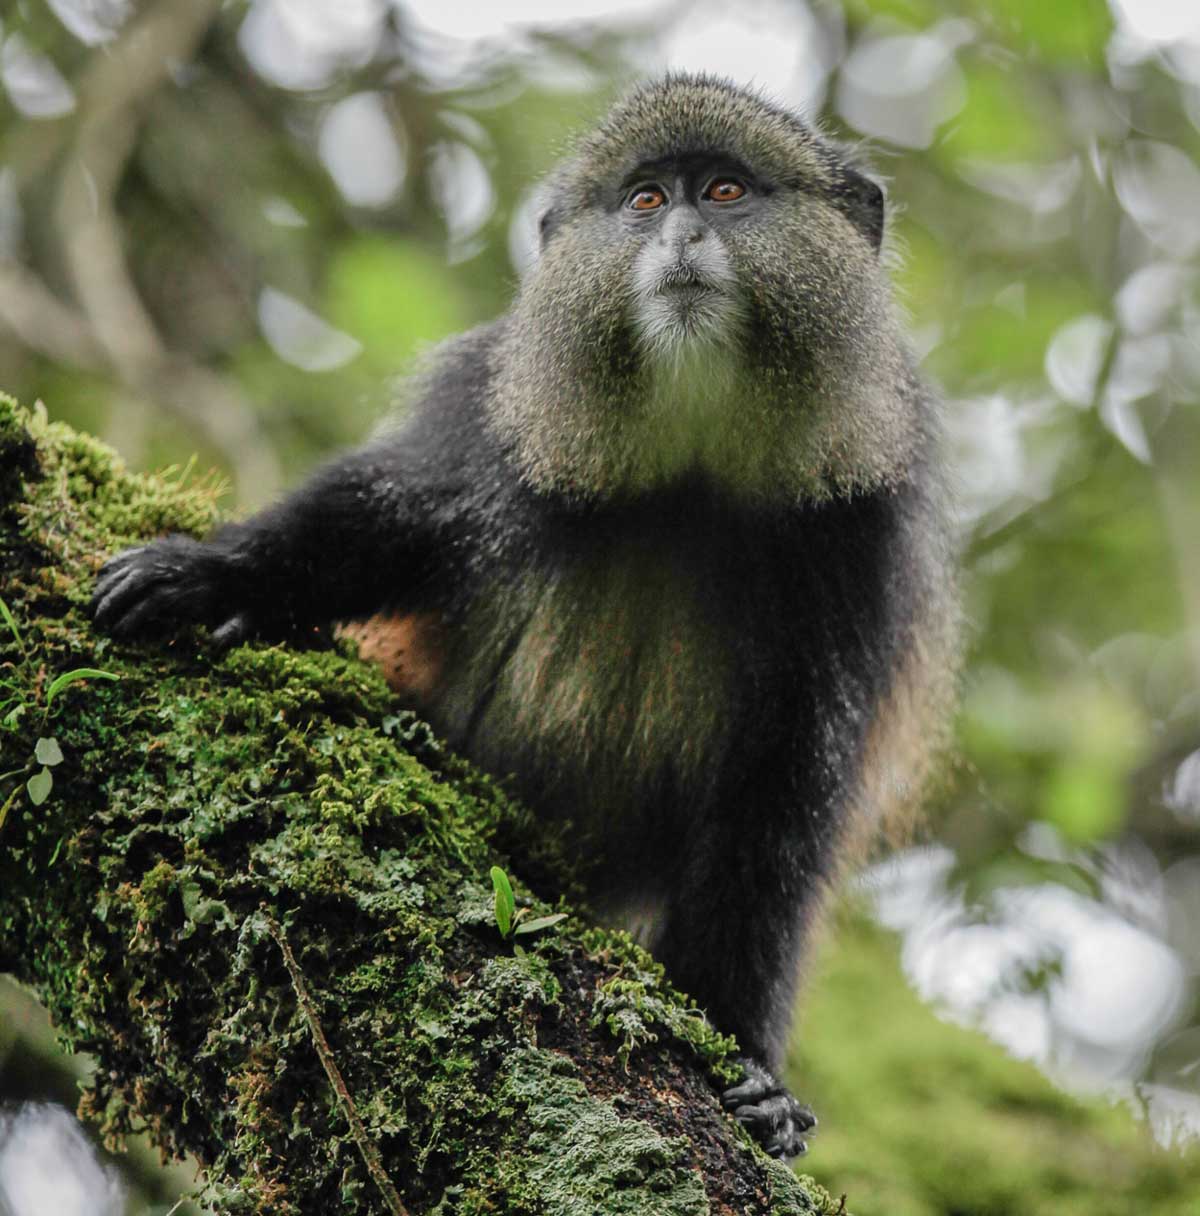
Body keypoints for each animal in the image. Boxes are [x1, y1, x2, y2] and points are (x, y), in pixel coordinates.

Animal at [91, 74, 958, 1160]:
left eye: (723, 191)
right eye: (644, 200)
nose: (679, 235)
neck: (695, 458)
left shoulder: (862, 529)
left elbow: (781, 803)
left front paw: (756, 1074)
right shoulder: (497, 408)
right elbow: (384, 517)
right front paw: (211, 573)